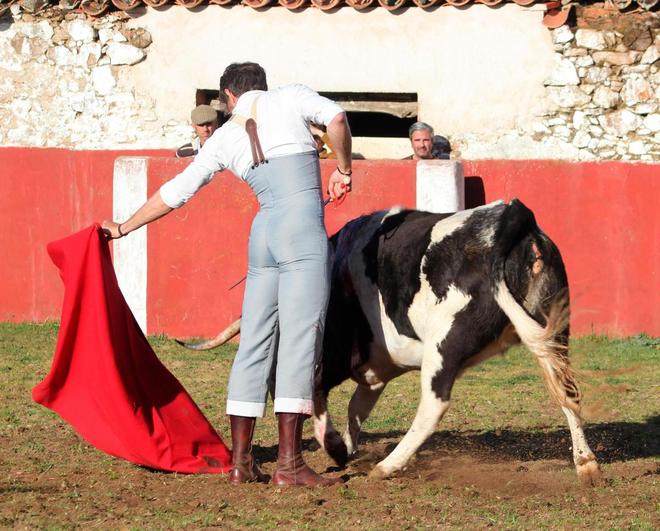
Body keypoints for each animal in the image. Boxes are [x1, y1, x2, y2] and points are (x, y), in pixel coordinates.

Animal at [312, 198, 600, 486]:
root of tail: (513, 216)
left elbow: (318, 392)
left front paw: (335, 447)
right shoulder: (377, 367)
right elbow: (356, 407)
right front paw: (347, 448)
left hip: (443, 343)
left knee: (433, 405)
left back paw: (387, 465)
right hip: (553, 335)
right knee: (568, 392)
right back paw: (586, 464)